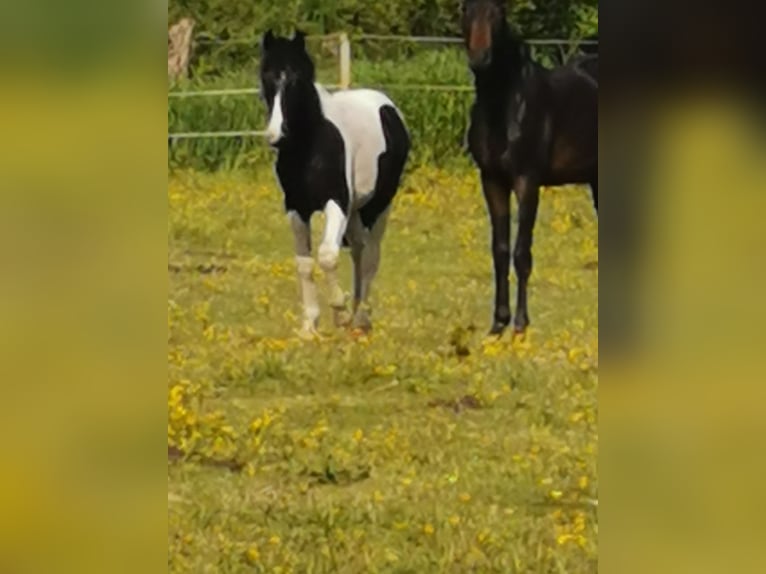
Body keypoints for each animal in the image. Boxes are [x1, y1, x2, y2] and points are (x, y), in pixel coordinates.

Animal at [260, 30, 414, 338]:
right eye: (266, 76)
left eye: (297, 78)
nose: (276, 135)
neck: (311, 144)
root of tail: (387, 105)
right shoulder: (296, 208)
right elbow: (305, 263)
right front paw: (310, 325)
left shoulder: (337, 202)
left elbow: (328, 256)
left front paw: (340, 312)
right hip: (355, 211)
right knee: (357, 251)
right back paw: (355, 313)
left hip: (378, 206)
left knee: (370, 256)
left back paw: (360, 319)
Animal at [462, 0, 600, 338]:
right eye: (465, 9)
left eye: (497, 13)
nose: (480, 58)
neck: (506, 103)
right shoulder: (492, 181)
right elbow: (499, 250)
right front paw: (498, 323)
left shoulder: (527, 181)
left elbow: (521, 253)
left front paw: (521, 324)